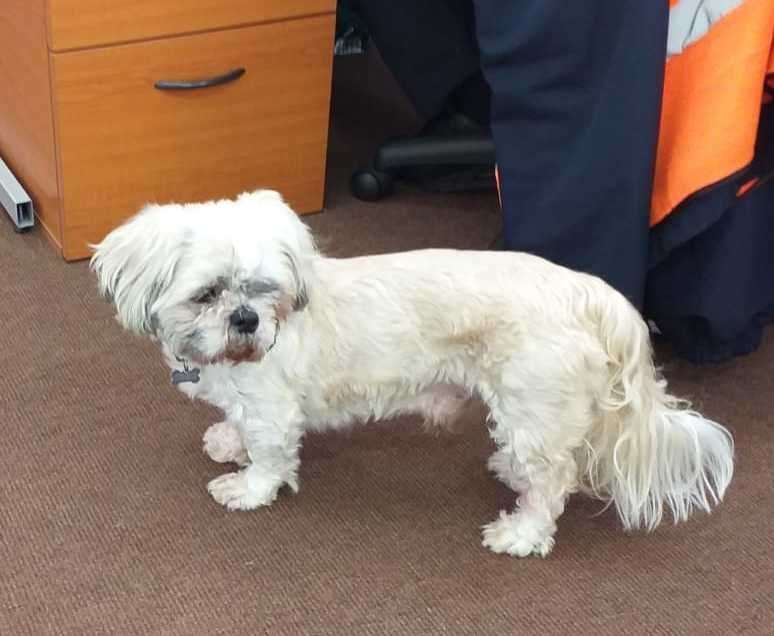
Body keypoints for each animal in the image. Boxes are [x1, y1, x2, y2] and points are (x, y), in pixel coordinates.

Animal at [91, 189, 732, 556]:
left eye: (264, 288)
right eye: (208, 294)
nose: (246, 319)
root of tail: (588, 291)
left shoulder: (274, 412)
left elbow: (270, 459)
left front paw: (248, 488)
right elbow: (235, 423)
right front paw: (227, 440)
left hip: (532, 402)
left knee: (555, 482)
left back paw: (521, 535)